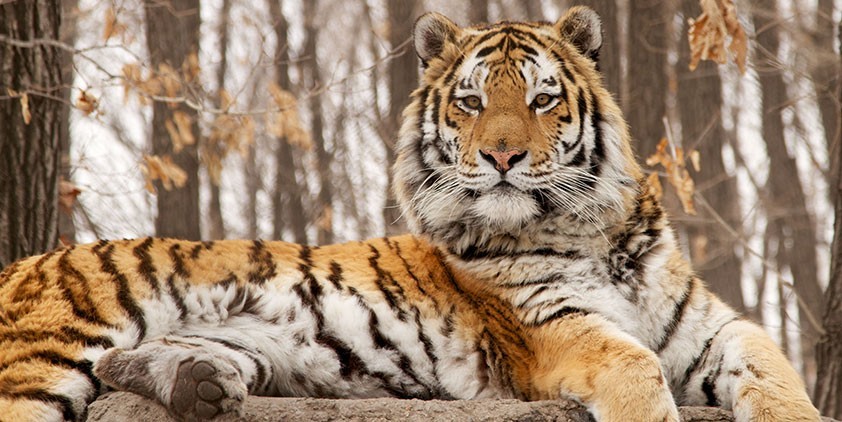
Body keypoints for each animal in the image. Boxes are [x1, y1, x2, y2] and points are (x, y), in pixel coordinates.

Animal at [0, 6, 821, 422]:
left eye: (541, 99)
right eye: (471, 101)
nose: (501, 156)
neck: (595, 233)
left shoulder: (713, 326)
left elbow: (777, 373)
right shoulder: (556, 331)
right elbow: (638, 370)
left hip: (240, 342)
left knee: (132, 367)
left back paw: (202, 387)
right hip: (45, 358)